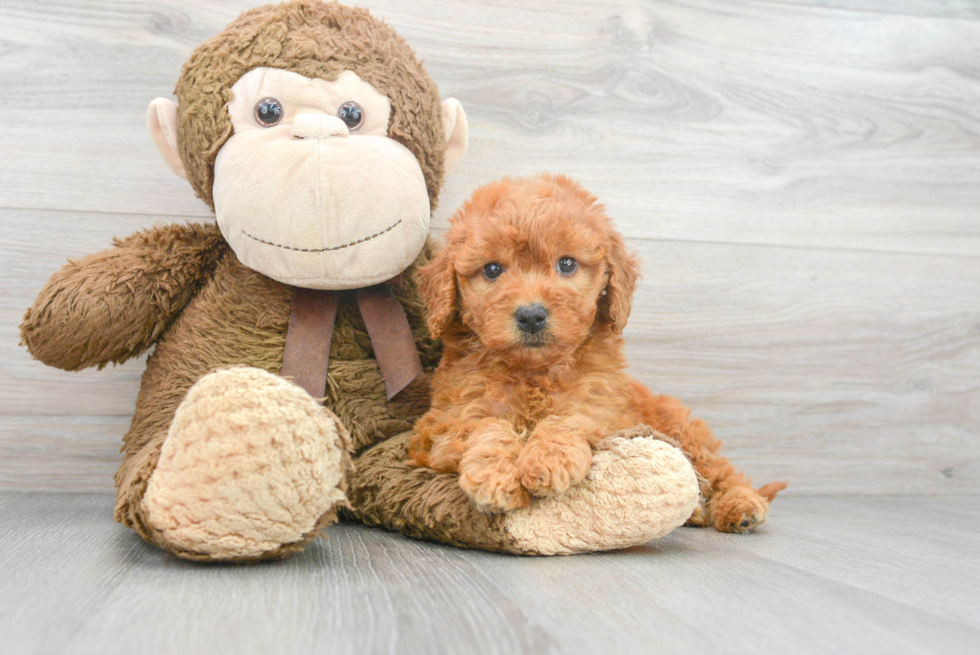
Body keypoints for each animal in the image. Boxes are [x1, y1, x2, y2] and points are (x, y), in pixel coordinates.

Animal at [410, 174, 784, 532]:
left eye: (567, 264)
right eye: (491, 269)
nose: (531, 315)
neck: (535, 372)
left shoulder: (603, 409)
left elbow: (571, 419)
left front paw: (549, 459)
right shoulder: (440, 424)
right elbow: (483, 426)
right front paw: (496, 477)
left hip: (682, 429)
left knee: (720, 472)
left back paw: (740, 506)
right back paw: (696, 512)